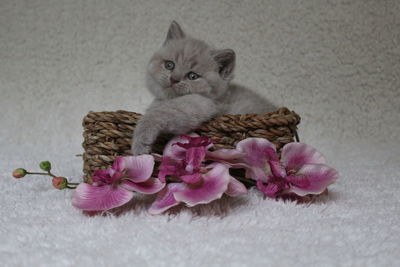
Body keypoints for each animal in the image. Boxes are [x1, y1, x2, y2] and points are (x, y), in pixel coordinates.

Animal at [133, 22, 276, 156]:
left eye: (192, 76)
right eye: (169, 65)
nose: (174, 79)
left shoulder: (201, 104)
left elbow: (157, 114)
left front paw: (140, 143)